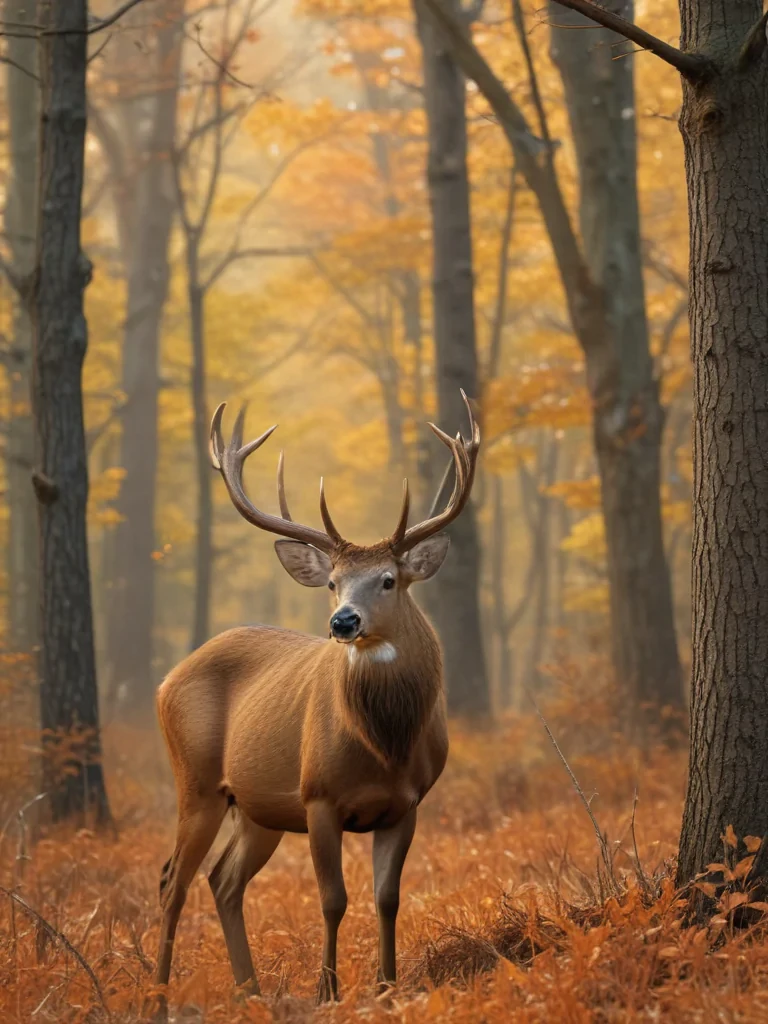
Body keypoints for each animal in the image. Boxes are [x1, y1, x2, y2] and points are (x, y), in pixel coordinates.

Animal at [152, 390, 479, 1010]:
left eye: (388, 580)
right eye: (332, 582)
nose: (342, 622)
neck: (383, 748)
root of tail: (165, 681)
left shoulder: (407, 804)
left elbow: (386, 898)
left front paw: (386, 988)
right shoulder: (318, 796)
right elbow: (333, 899)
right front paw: (328, 991)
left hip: (257, 807)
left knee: (222, 881)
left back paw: (251, 993)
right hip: (197, 780)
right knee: (171, 881)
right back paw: (157, 997)